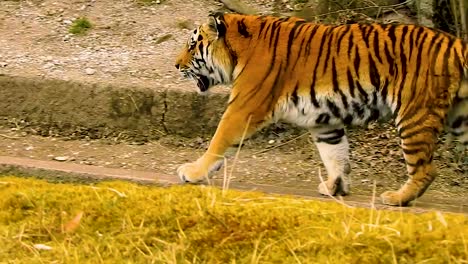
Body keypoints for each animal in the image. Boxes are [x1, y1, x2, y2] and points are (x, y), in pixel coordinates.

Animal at [175, 11, 468, 206]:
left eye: (192, 45)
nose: (176, 65)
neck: (238, 50)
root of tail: (455, 43)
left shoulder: (243, 108)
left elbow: (218, 140)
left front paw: (192, 172)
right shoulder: (324, 120)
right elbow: (335, 155)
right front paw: (335, 187)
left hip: (414, 115)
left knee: (426, 170)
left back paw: (396, 198)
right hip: (460, 119)